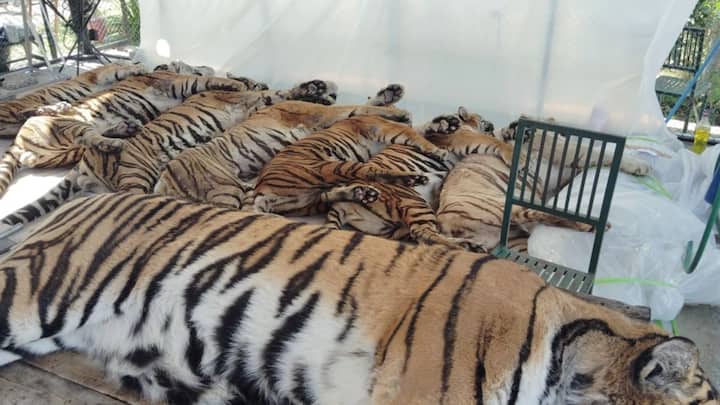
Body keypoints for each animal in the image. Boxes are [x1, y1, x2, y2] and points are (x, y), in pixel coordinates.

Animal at [0, 63, 148, 137]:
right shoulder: (101, 75)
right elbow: (119, 71)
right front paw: (137, 69)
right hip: (21, 106)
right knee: (22, 113)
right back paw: (60, 106)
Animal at [0, 70, 268, 197]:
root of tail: (17, 143)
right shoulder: (178, 83)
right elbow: (205, 79)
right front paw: (237, 84)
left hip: (63, 151)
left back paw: (123, 128)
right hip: (68, 126)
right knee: (88, 136)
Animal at [154, 84, 412, 208]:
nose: (330, 94)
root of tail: (163, 181)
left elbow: (361, 105)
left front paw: (391, 94)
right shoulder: (322, 112)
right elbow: (360, 107)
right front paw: (400, 112)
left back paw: (360, 193)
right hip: (224, 191)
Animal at [436, 115, 652, 250]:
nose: (514, 126)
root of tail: (443, 220)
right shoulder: (568, 152)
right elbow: (603, 153)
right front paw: (641, 165)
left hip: (507, 235)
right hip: (502, 205)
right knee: (543, 214)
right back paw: (595, 226)